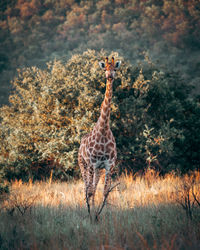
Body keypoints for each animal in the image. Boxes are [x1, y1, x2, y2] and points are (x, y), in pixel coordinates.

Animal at [78, 55, 121, 212]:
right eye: (104, 69)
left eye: (115, 69)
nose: (109, 76)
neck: (103, 131)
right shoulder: (92, 163)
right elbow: (90, 191)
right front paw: (90, 214)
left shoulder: (108, 165)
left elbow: (105, 191)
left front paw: (100, 213)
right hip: (83, 164)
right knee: (86, 188)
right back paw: (87, 208)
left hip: (98, 170)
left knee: (93, 187)